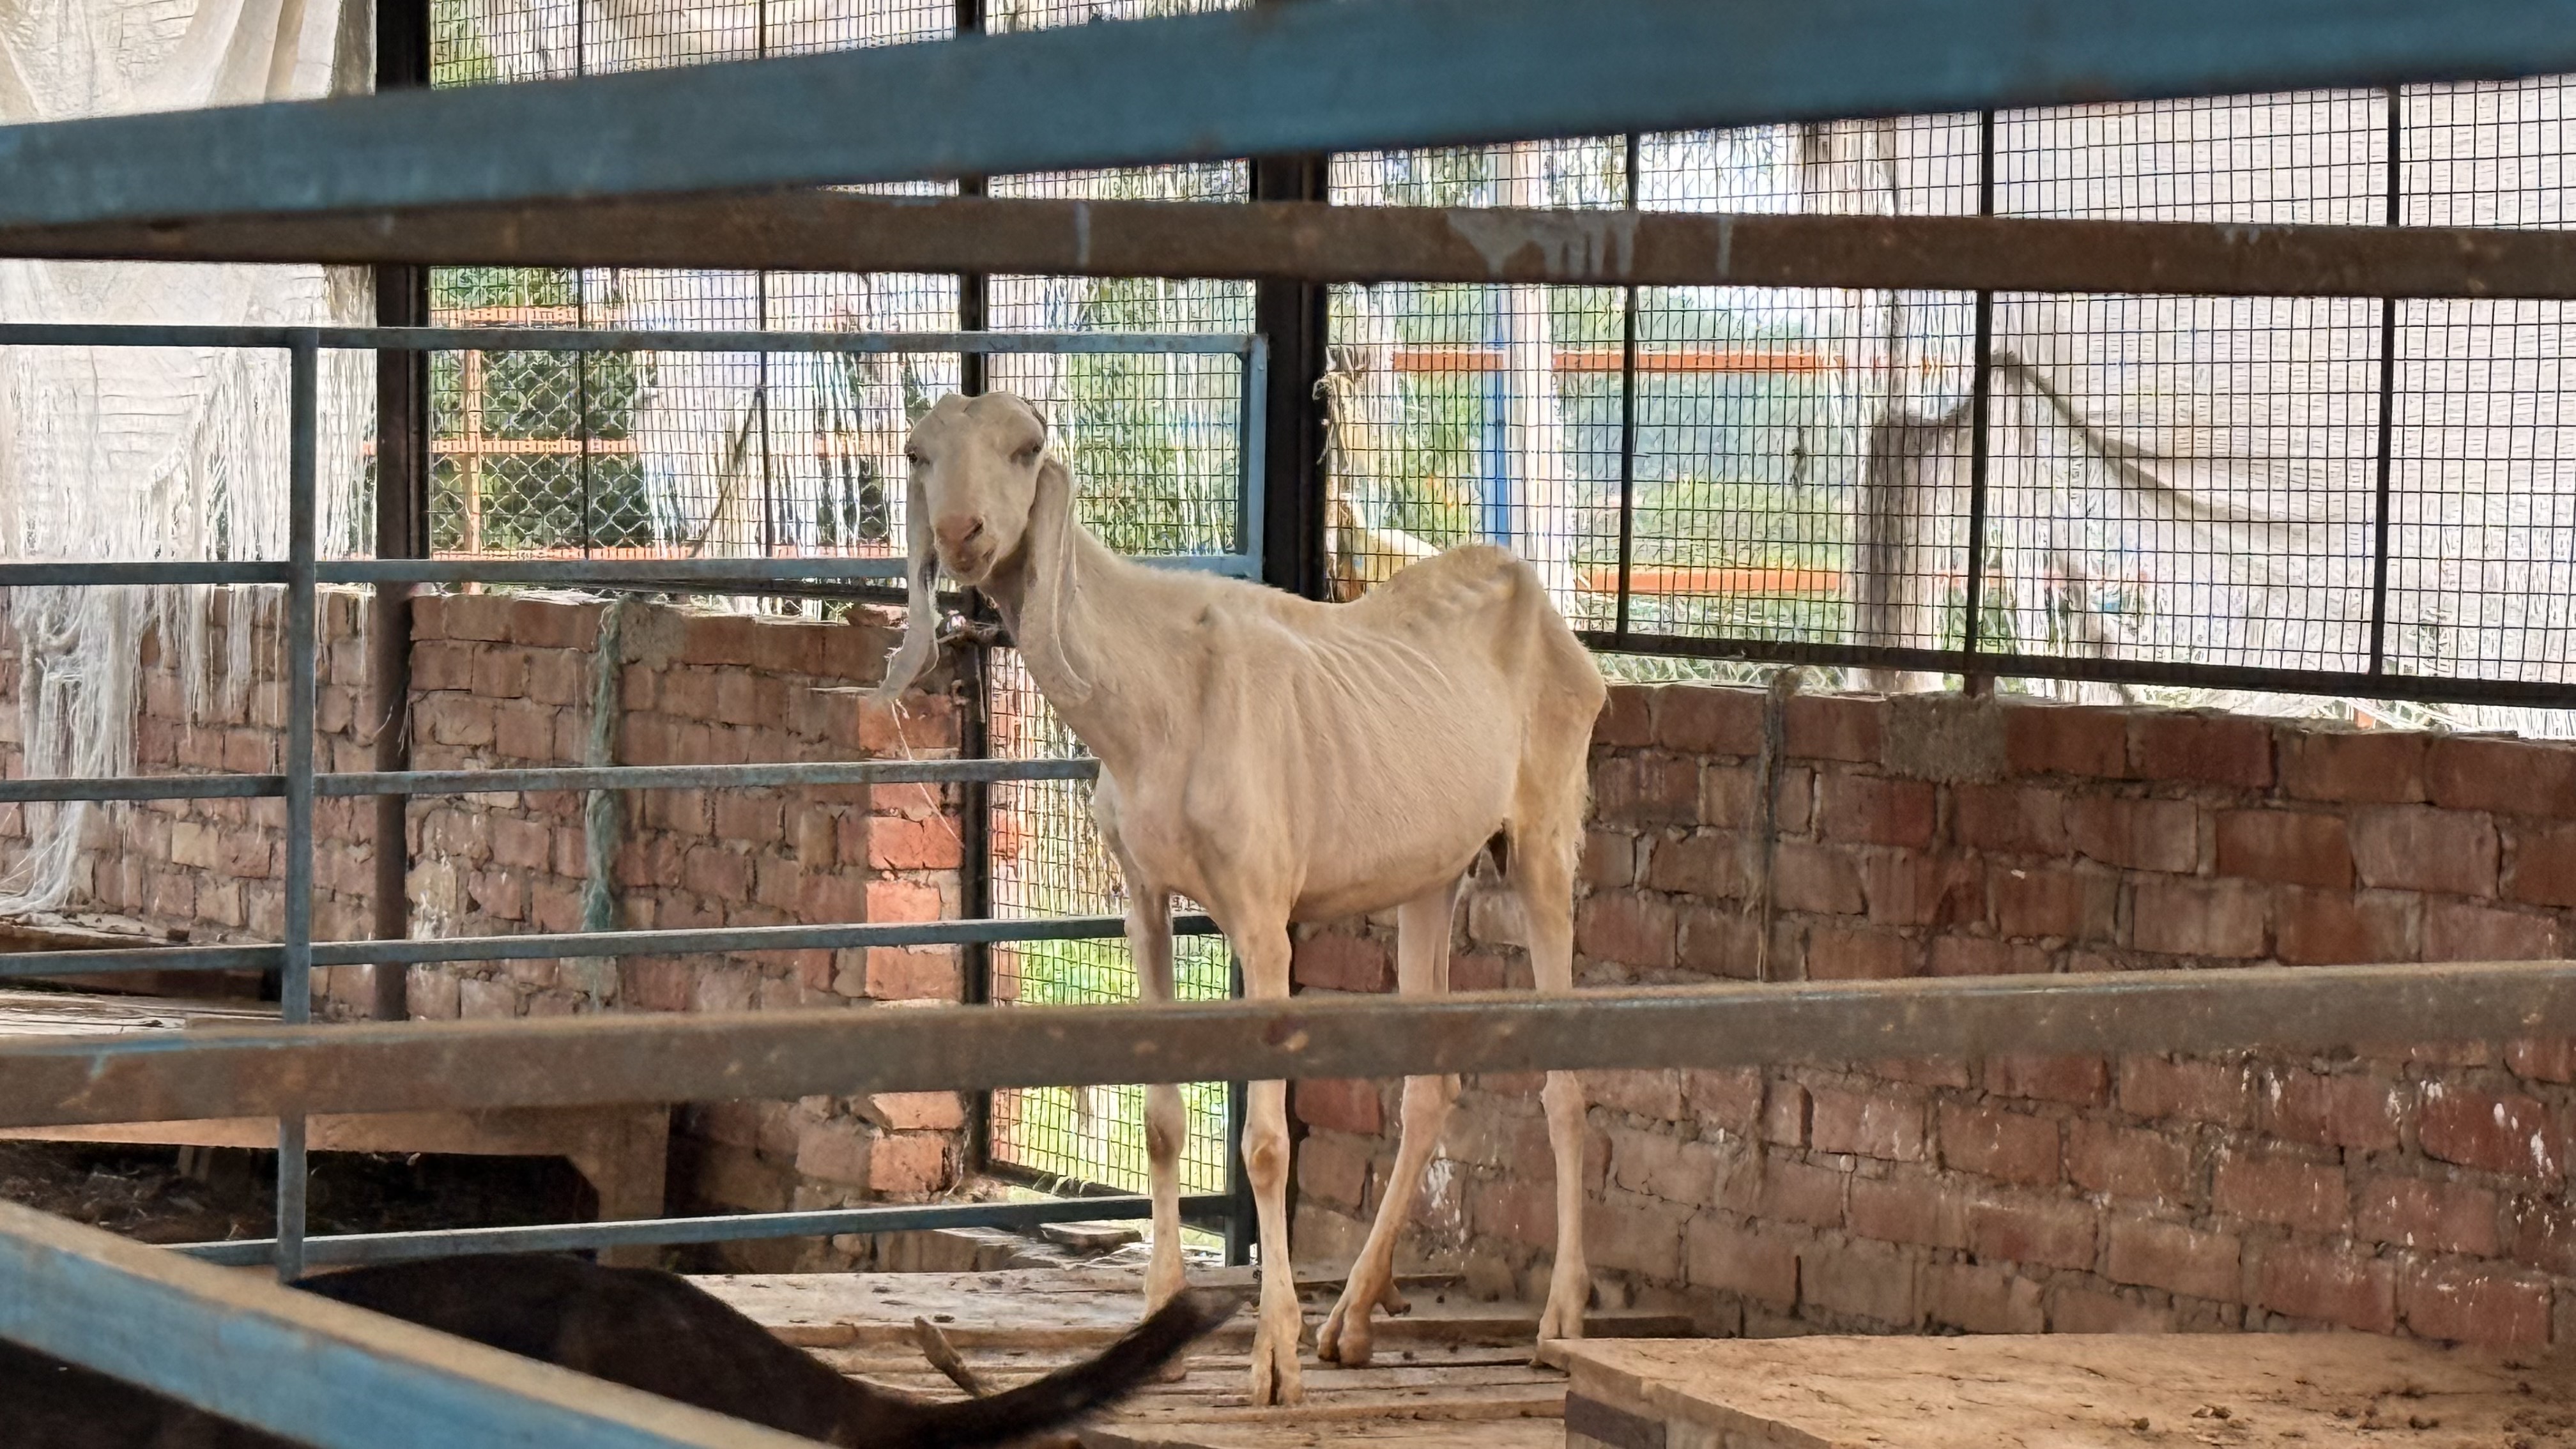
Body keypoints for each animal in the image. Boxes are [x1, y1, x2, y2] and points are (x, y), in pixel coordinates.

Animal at [878, 392, 1607, 1405]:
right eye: (917, 453)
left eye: (1025, 450)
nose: (960, 536)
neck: (1159, 693)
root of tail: (1540, 605)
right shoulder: (1144, 900)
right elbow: (1160, 1121)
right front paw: (1156, 1323)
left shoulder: (1265, 920)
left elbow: (1265, 1143)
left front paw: (1272, 1358)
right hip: (1432, 874)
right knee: (1430, 1087)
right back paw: (1354, 1321)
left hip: (1543, 832)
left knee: (1565, 1083)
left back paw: (1558, 1318)